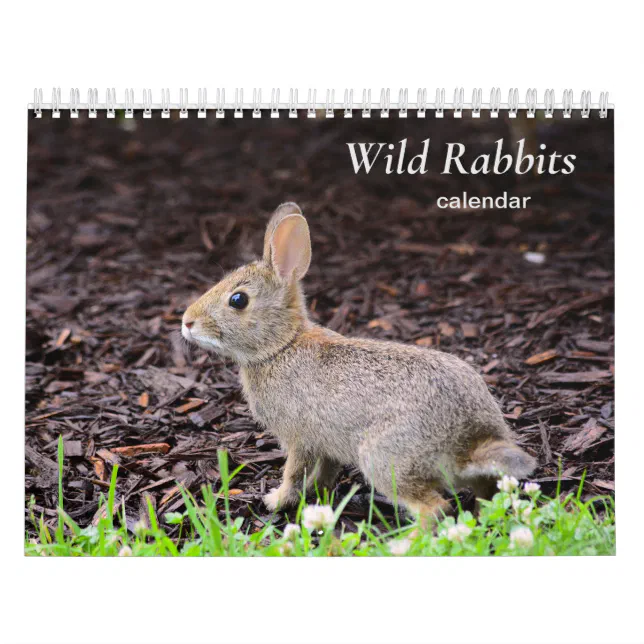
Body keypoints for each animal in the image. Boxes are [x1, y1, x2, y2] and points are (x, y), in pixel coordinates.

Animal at [182, 202, 536, 519]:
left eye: (238, 300)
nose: (186, 322)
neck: (281, 345)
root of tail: (470, 441)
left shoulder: (299, 439)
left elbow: (293, 472)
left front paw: (275, 500)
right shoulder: (325, 444)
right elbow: (325, 471)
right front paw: (317, 492)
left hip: (384, 459)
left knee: (433, 509)